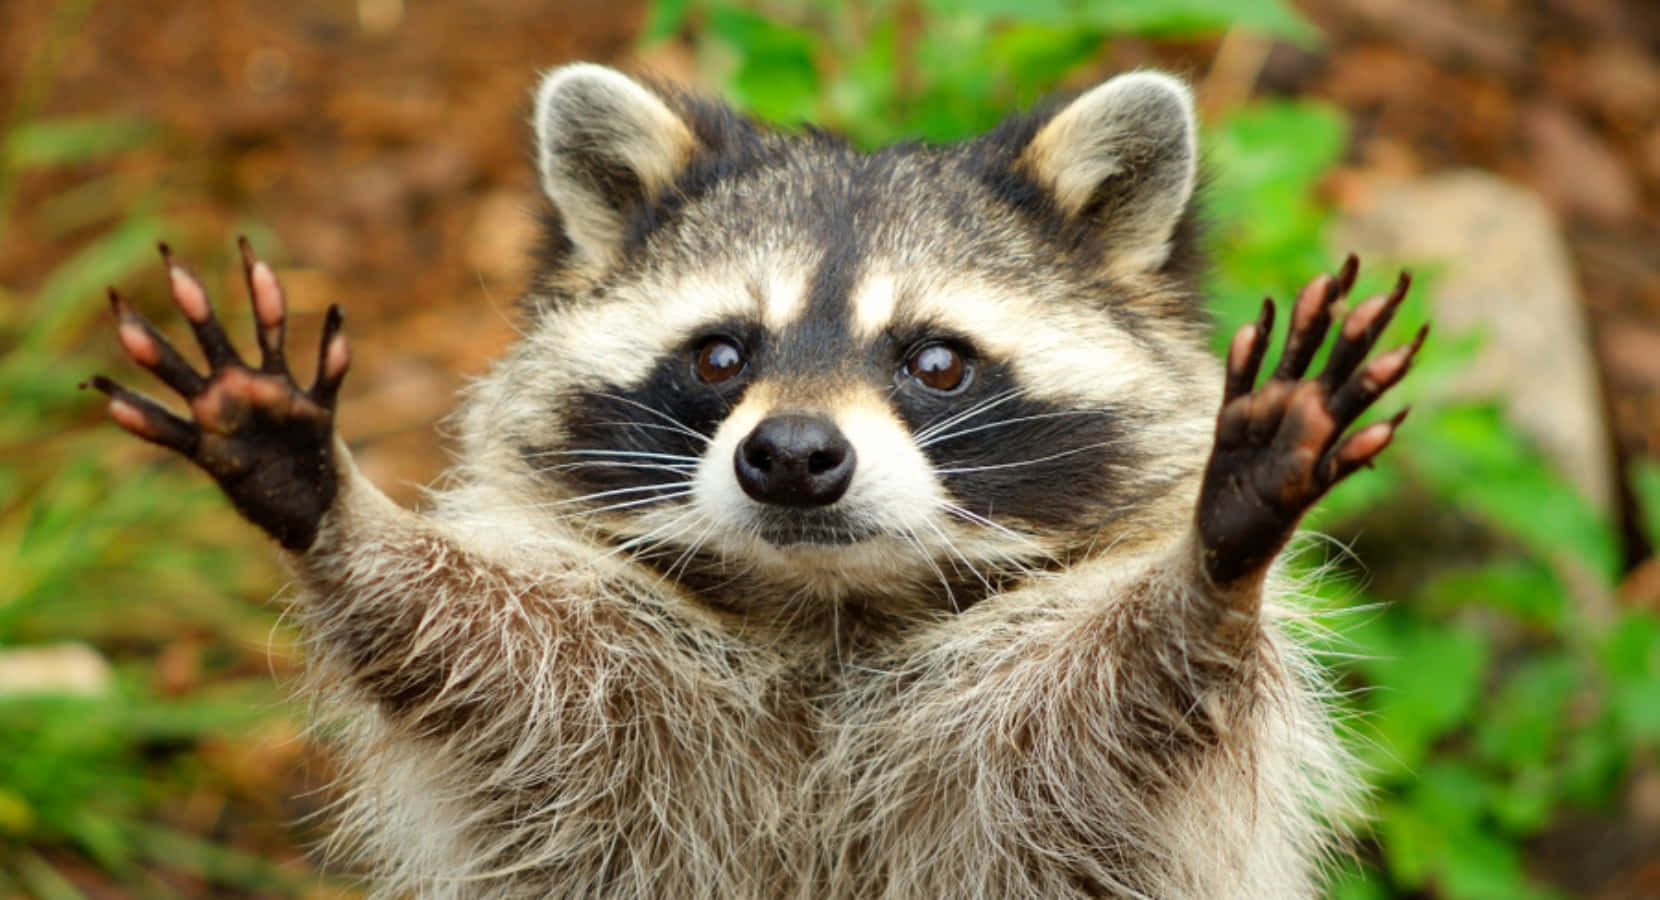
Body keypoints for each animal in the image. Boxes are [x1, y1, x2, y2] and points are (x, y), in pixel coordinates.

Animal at [92, 63, 1424, 898]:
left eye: (935, 361)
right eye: (722, 354)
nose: (790, 455)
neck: (826, 608)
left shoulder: (1063, 776)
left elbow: (1139, 699)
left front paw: (1215, 560)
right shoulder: (600, 702)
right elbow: (463, 647)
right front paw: (331, 507)